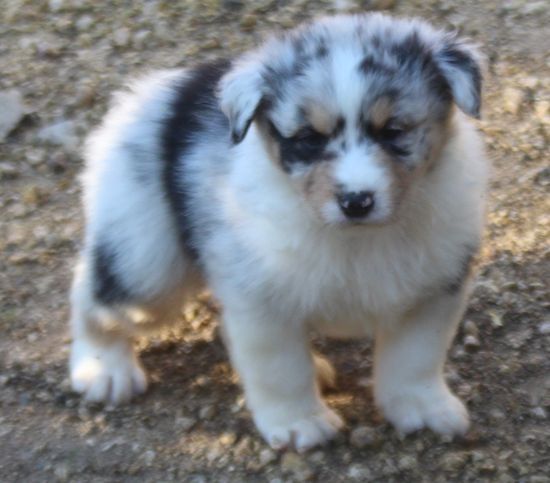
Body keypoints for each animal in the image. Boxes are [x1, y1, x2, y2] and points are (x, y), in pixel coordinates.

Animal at [69, 13, 489, 452]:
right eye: (307, 139)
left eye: (392, 131)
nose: (356, 201)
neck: (355, 238)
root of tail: (155, 91)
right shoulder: (262, 303)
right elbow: (281, 369)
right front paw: (299, 423)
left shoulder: (433, 291)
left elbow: (415, 358)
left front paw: (421, 407)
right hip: (146, 262)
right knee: (94, 295)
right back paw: (102, 369)